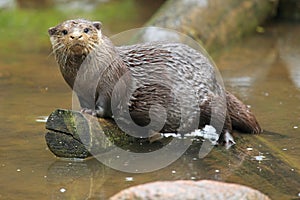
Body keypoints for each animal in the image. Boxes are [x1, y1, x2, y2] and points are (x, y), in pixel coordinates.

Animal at [48, 18, 262, 145]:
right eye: (64, 32)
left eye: (86, 29)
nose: (76, 36)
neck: (86, 77)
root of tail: (215, 80)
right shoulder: (79, 89)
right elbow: (85, 101)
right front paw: (84, 109)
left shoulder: (112, 80)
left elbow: (106, 102)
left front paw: (94, 112)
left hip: (206, 97)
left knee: (223, 117)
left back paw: (226, 139)